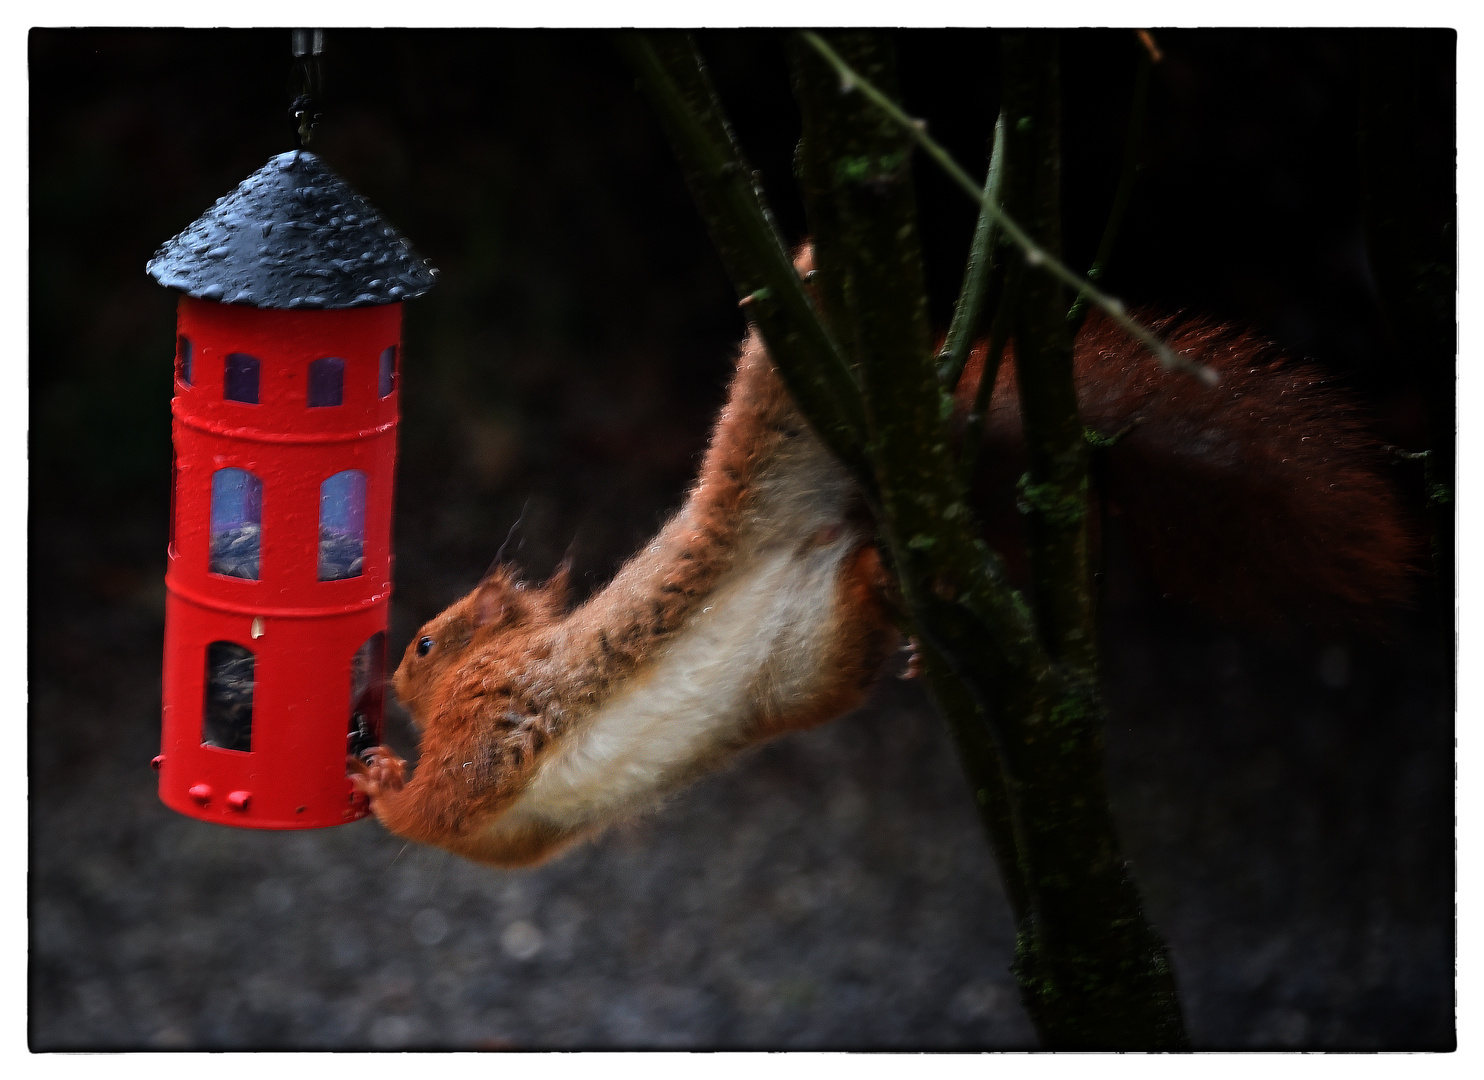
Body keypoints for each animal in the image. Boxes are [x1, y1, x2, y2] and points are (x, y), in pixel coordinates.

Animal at [347, 256, 1412, 866]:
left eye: (428, 645)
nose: (392, 675)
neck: (502, 656)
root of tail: (821, 528)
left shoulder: (495, 713)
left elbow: (447, 795)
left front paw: (383, 780)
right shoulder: (519, 834)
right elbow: (492, 845)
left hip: (771, 413)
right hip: (810, 655)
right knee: (857, 592)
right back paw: (896, 593)